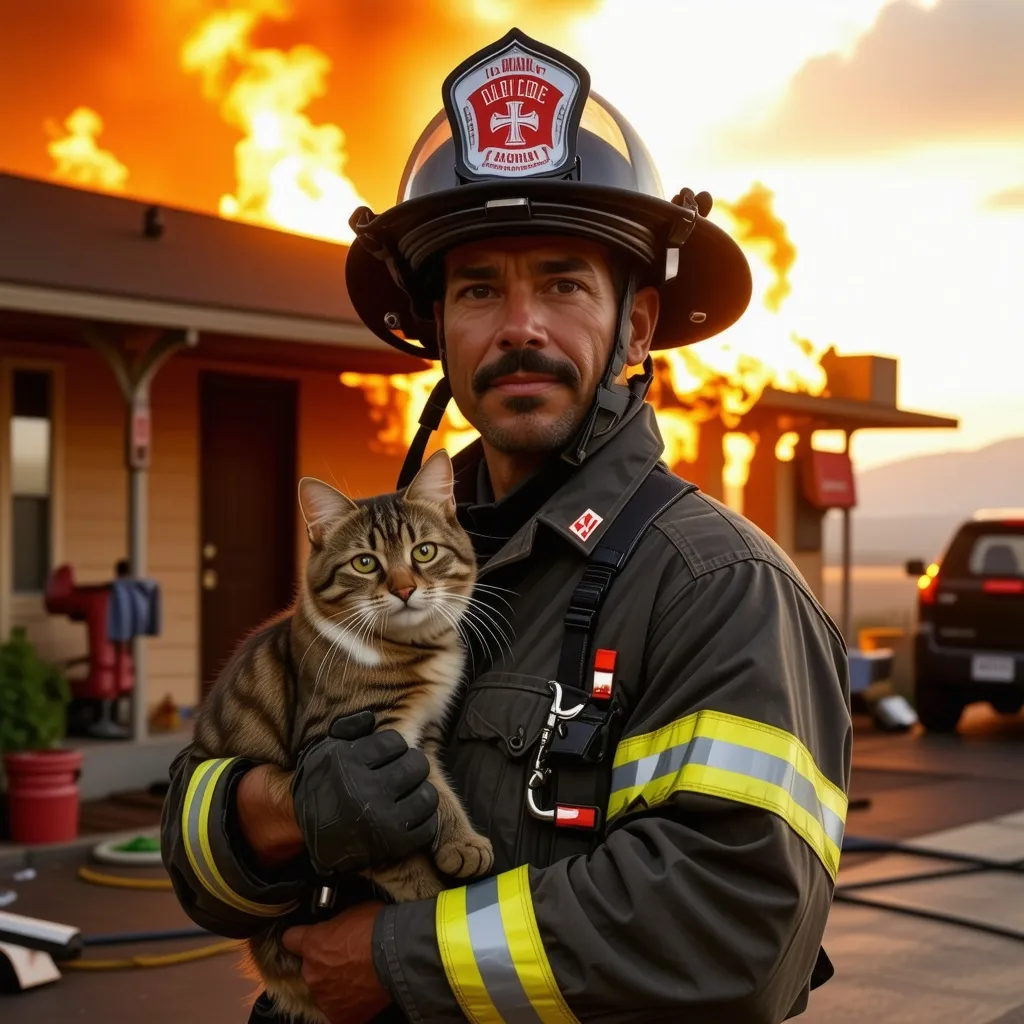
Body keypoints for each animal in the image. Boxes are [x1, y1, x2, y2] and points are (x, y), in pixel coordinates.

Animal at [194, 452, 495, 1024]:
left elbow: (442, 794)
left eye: (423, 552)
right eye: (365, 563)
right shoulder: (354, 749)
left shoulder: (419, 740)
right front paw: (428, 896)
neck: (411, 649)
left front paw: (460, 842)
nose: (404, 588)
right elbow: (398, 847)